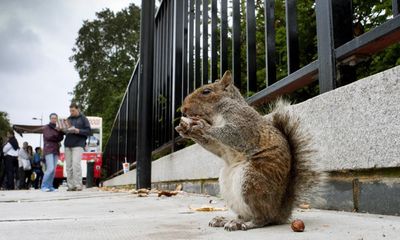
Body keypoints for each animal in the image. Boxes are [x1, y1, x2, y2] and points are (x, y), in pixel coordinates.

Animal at [175, 71, 318, 231]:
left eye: (206, 91)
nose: (183, 109)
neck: (216, 115)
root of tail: (280, 212)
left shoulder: (244, 124)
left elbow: (232, 134)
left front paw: (202, 126)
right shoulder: (220, 146)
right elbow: (214, 145)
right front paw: (186, 130)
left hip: (252, 181)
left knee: (263, 218)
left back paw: (244, 223)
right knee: (245, 214)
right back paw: (225, 220)